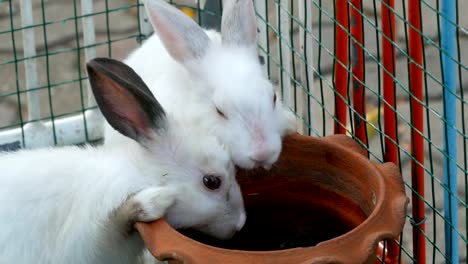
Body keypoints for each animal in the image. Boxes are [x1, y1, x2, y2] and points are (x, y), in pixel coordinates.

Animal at [0, 57, 247, 264]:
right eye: (212, 182)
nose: (241, 223)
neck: (136, 174)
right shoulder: (90, 236)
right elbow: (121, 216)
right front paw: (157, 200)